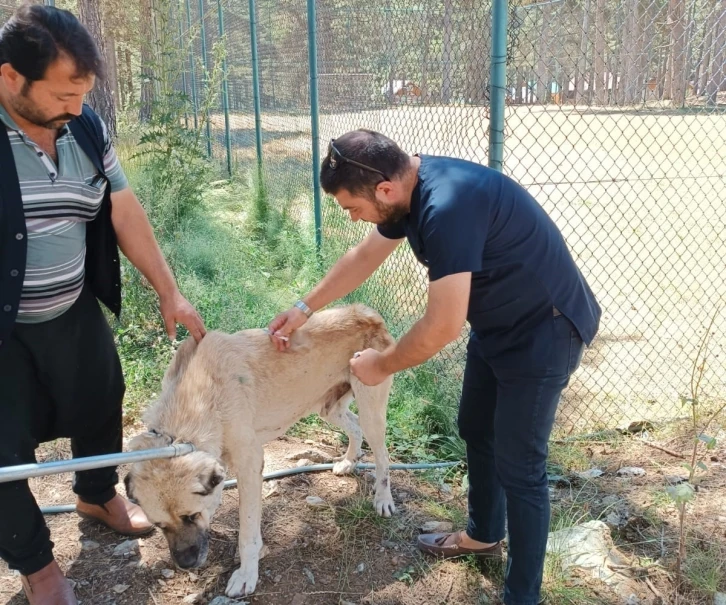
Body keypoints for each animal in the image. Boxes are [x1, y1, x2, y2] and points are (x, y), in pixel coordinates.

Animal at [125, 304, 398, 596]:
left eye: (192, 515)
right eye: (159, 525)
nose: (186, 564)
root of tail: (366, 313)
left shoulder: (250, 464)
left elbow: (247, 535)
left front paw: (246, 575)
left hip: (371, 408)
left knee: (382, 455)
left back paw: (383, 499)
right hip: (329, 408)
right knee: (355, 427)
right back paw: (349, 462)